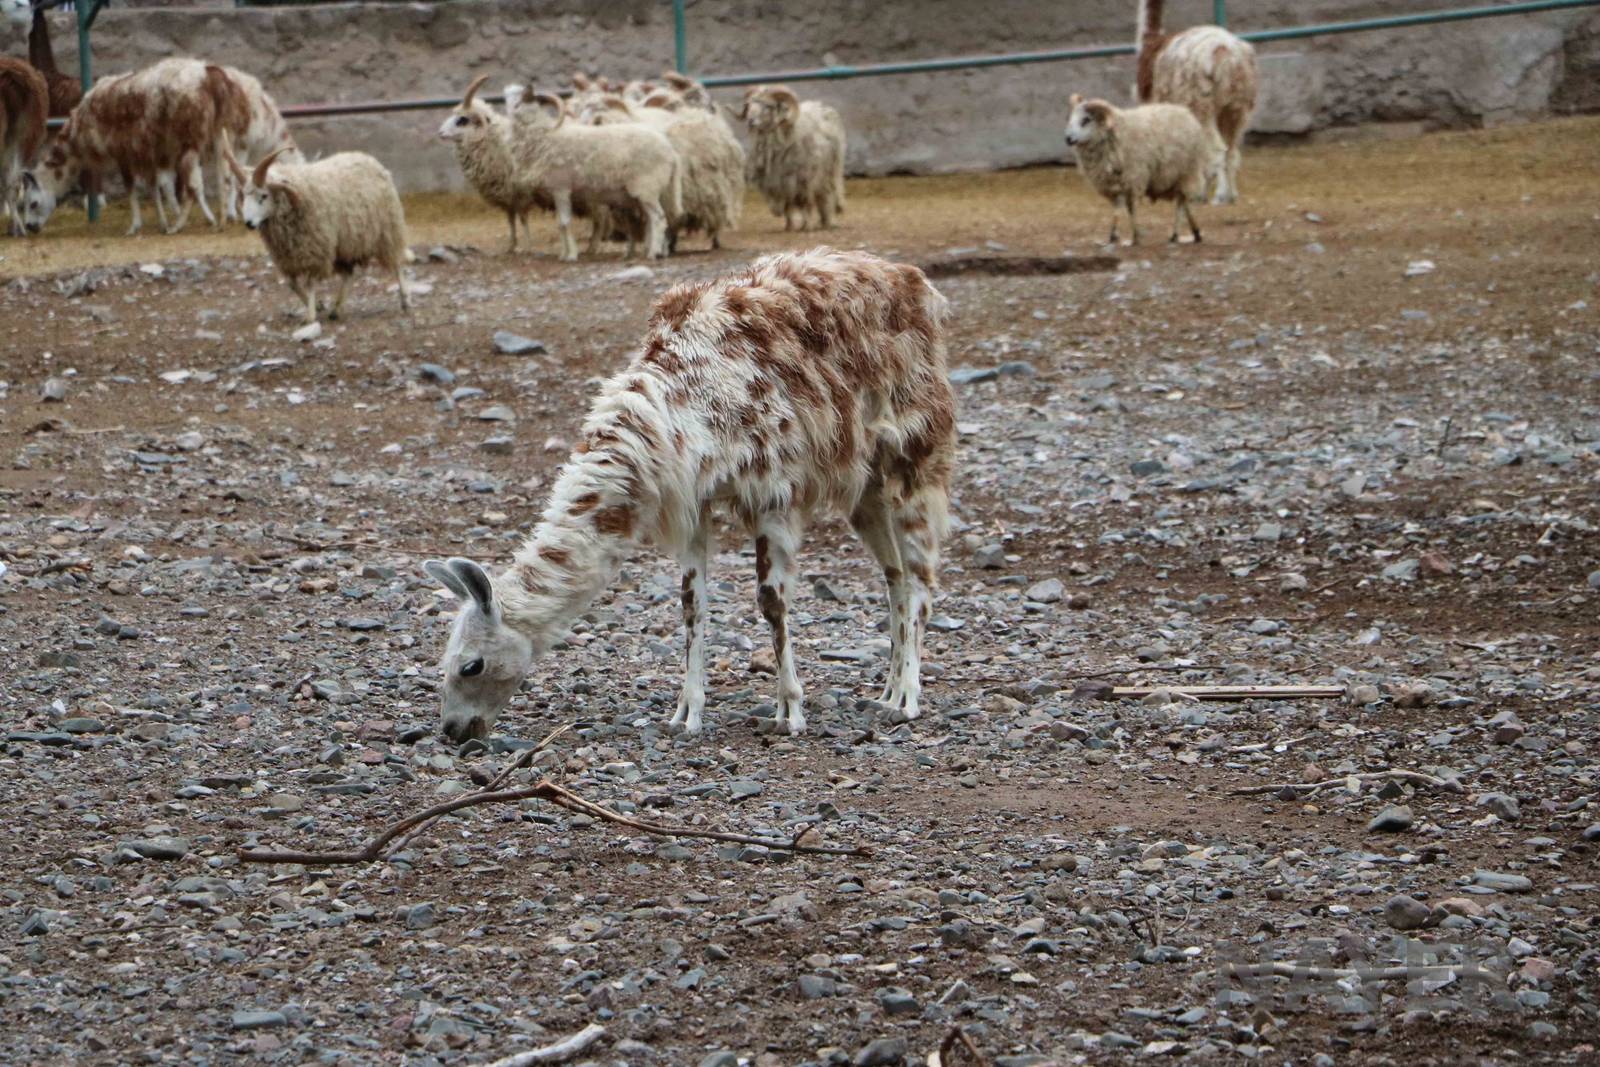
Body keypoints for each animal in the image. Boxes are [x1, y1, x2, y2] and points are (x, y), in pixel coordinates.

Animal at [228, 147, 411, 325]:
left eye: (264, 195)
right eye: (243, 196)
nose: (248, 223)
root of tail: (370, 159)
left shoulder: (315, 250)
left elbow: (309, 283)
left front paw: (310, 315)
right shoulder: (288, 256)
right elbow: (292, 284)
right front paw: (318, 305)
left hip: (388, 230)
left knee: (397, 264)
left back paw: (405, 300)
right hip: (345, 244)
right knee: (349, 275)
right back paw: (336, 309)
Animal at [421, 248, 956, 742]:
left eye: (471, 665)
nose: (453, 728)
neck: (677, 415)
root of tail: (914, 281)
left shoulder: (773, 489)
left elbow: (771, 601)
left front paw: (789, 709)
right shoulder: (696, 499)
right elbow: (691, 603)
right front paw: (686, 712)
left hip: (916, 451)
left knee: (921, 576)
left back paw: (907, 698)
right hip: (864, 487)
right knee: (894, 576)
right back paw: (887, 689)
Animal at [740, 85, 846, 231]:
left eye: (768, 105)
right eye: (749, 104)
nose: (750, 121)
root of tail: (823, 108)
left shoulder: (805, 179)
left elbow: (807, 204)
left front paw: (808, 226)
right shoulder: (780, 182)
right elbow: (787, 206)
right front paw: (789, 227)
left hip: (829, 171)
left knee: (827, 196)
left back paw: (828, 222)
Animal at [1064, 93, 1209, 246]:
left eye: (1086, 120)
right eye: (1071, 118)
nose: (1068, 138)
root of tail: (1186, 112)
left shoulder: (1133, 179)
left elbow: (1131, 208)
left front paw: (1133, 236)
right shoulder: (1114, 183)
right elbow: (1118, 207)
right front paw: (1115, 235)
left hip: (1186, 172)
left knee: (1181, 203)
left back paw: (1175, 234)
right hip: (1177, 177)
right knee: (1185, 202)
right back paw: (1196, 232)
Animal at [1135, 0, 1258, 204]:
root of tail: (1227, 54)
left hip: (1200, 104)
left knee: (1218, 150)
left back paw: (1217, 195)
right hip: (1238, 107)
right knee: (1232, 150)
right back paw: (1230, 195)